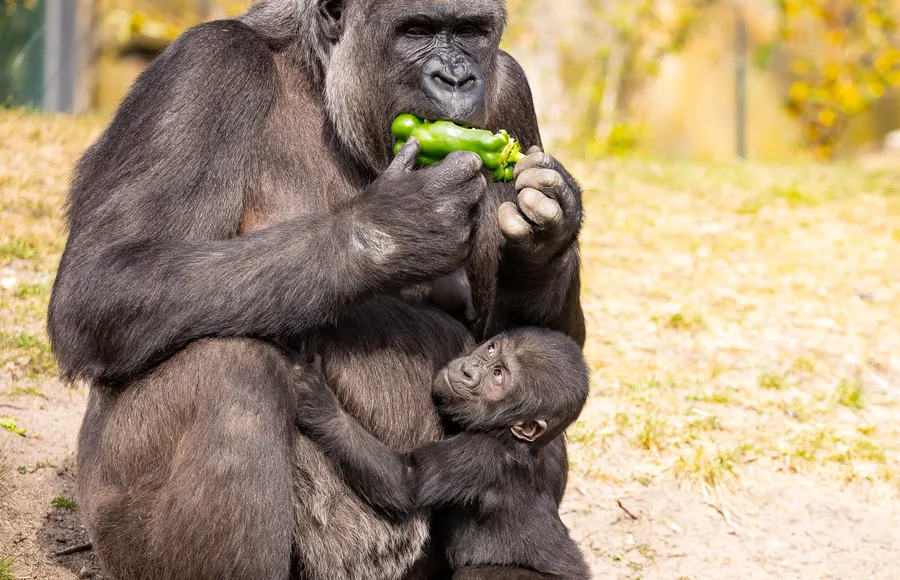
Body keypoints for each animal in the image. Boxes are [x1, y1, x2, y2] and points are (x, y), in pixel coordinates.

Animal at [294, 327, 591, 580]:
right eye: (491, 349)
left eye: (498, 375)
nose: (469, 369)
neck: (508, 435)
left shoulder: (481, 454)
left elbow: (407, 481)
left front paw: (322, 406)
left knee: (474, 574)